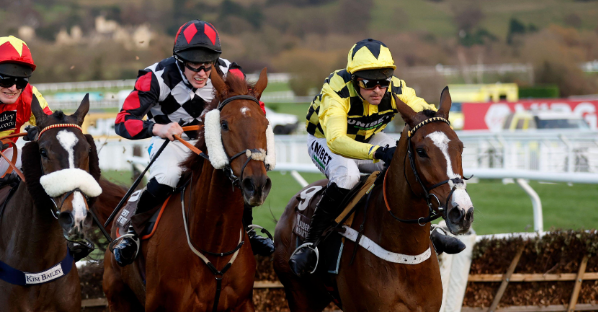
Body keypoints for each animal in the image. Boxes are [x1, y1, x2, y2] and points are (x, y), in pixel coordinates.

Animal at [103, 69, 274, 312]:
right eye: (224, 124)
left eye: (265, 124)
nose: (257, 184)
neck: (216, 246)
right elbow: (125, 117)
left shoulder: (242, 303)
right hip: (118, 298)